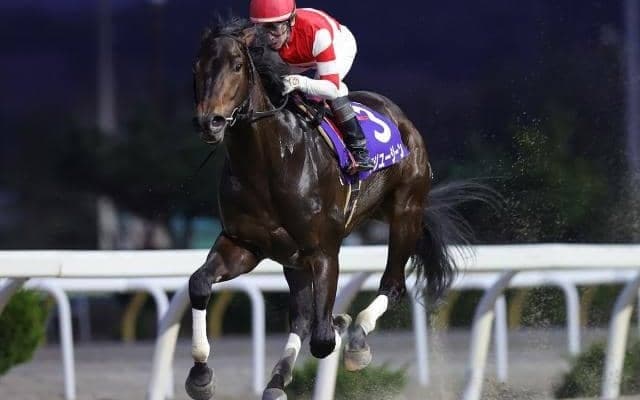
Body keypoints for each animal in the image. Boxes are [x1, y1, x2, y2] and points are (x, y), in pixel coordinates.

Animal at [186, 17, 478, 400]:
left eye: (236, 65)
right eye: (197, 67)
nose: (211, 122)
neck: (268, 163)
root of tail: (402, 119)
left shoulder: (323, 251)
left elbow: (324, 339)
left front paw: (342, 327)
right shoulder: (244, 245)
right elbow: (199, 284)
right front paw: (200, 375)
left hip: (406, 212)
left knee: (392, 285)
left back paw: (357, 340)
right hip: (294, 256)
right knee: (301, 318)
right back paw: (277, 382)